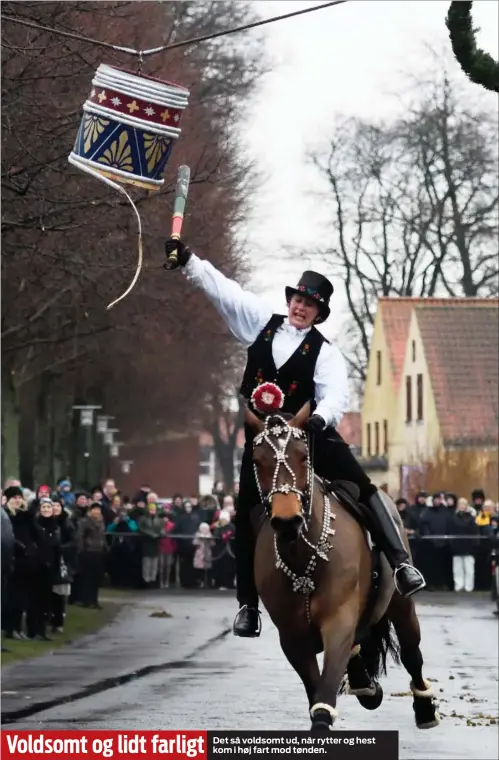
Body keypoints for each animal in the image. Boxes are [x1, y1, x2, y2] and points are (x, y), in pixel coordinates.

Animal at [246, 404, 442, 732]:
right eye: (257, 460)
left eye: (303, 456)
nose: (287, 521)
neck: (304, 558)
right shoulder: (293, 639)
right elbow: (317, 694)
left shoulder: (338, 622)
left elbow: (324, 697)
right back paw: (367, 686)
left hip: (401, 604)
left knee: (412, 653)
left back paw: (424, 707)